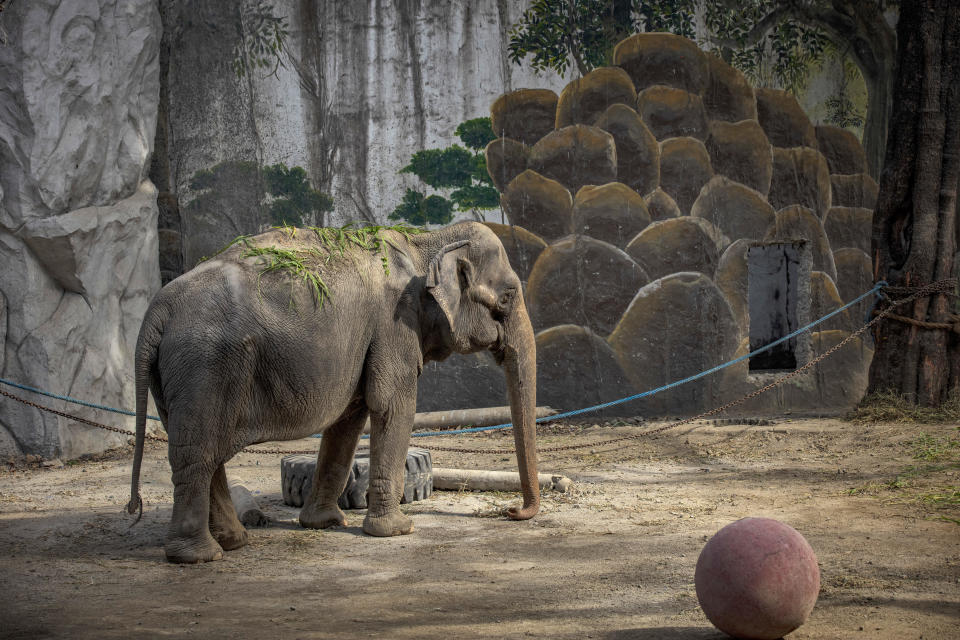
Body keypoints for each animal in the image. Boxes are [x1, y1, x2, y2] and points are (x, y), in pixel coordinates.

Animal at [125, 222, 540, 564]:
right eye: (507, 297)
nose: (512, 512)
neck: (426, 240)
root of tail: (158, 309)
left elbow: (348, 420)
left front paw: (323, 523)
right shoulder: (394, 323)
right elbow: (393, 406)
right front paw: (396, 531)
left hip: (178, 377)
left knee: (201, 451)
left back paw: (233, 542)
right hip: (204, 367)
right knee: (198, 455)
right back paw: (199, 556)